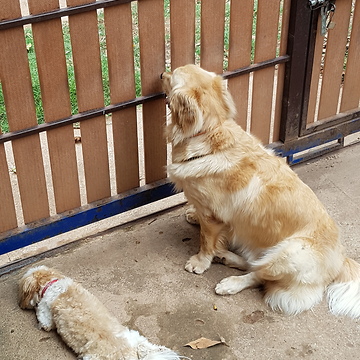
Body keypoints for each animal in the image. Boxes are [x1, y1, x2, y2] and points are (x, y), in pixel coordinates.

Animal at [18, 266, 183, 360]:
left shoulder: (45, 313)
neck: (52, 283)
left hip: (92, 358)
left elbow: (44, 321)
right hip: (138, 338)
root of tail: (131, 351)